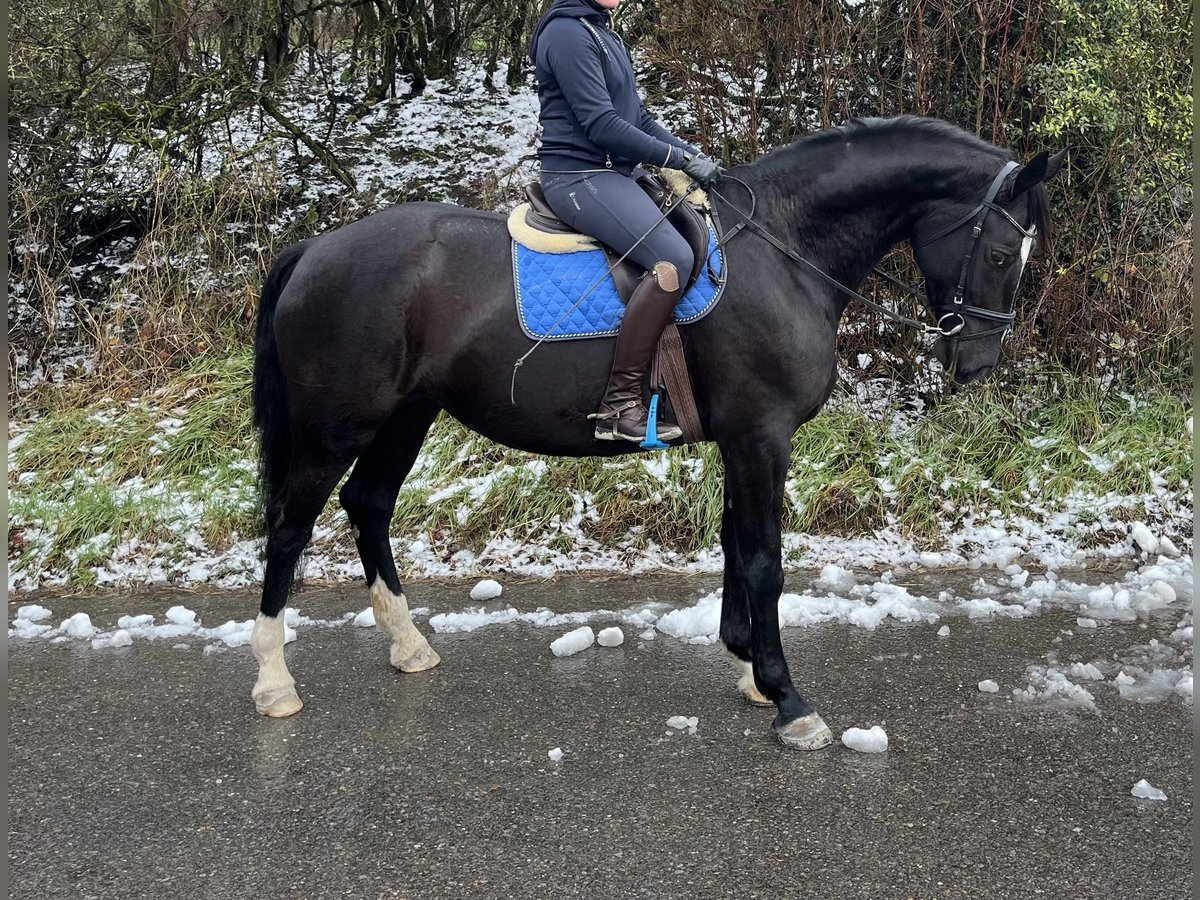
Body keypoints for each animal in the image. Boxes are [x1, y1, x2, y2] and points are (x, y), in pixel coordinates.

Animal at [248, 116, 1065, 748]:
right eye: (1000, 252)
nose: (976, 361)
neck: (784, 250)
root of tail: (314, 249)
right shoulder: (761, 435)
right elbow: (764, 560)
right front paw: (788, 699)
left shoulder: (741, 437)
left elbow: (736, 545)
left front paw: (748, 668)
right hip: (335, 427)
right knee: (290, 527)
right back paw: (274, 681)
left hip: (406, 415)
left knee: (369, 505)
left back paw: (409, 645)